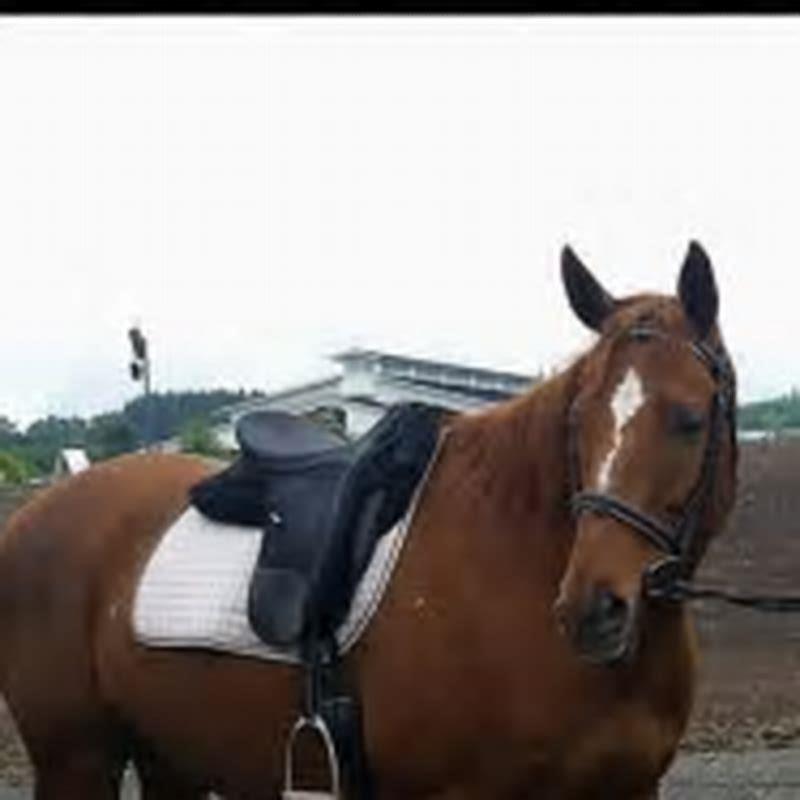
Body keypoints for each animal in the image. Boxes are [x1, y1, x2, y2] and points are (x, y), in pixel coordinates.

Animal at [0, 241, 738, 799]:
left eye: (689, 418)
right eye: (577, 422)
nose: (591, 609)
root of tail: (33, 513)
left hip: (168, 757)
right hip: (76, 759)